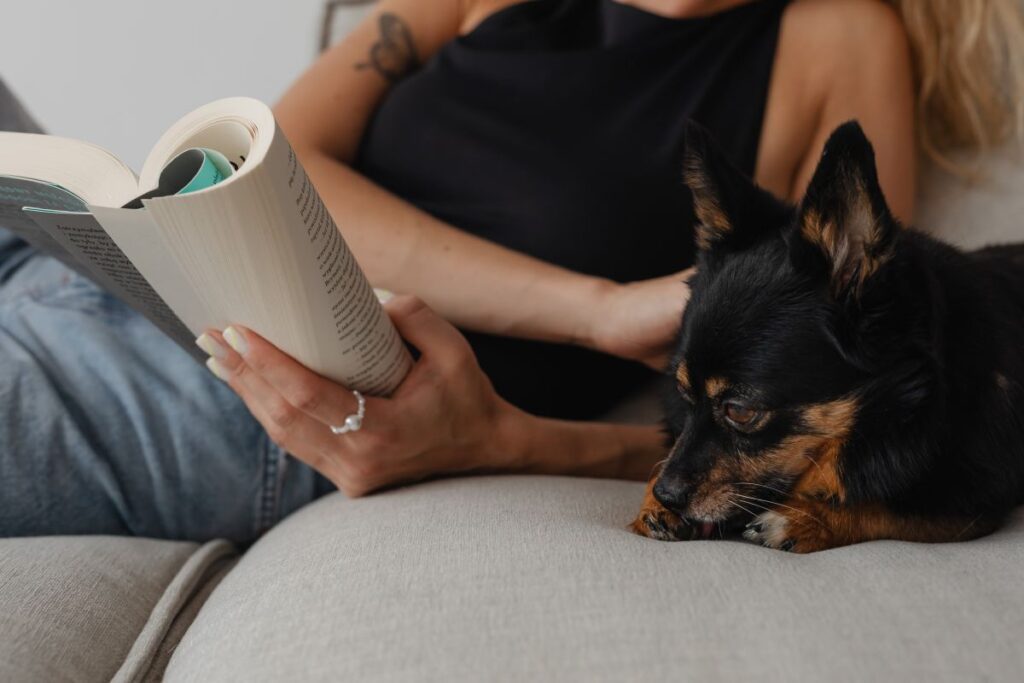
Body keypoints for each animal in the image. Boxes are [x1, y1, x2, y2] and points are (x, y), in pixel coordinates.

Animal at [630, 120, 1024, 552]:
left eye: (741, 411)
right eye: (683, 393)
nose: (668, 494)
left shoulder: (966, 508)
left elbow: (885, 507)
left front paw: (806, 517)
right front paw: (653, 499)